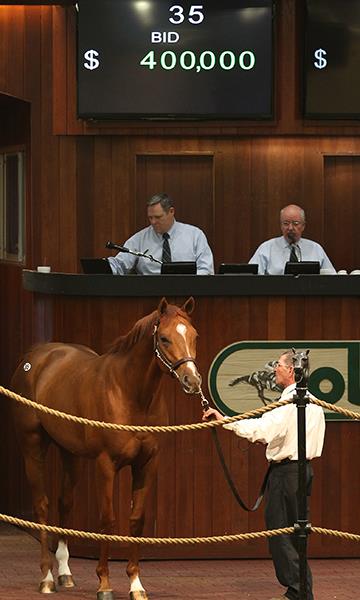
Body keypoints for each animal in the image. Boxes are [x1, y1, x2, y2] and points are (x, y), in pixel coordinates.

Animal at [11, 298, 201, 600]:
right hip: (33, 446)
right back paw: (47, 577)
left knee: (65, 503)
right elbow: (107, 520)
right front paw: (104, 584)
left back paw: (65, 573)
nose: (192, 381)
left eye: (194, 336)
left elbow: (137, 520)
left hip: (71, 453)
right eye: (164, 338)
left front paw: (136, 584)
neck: (129, 393)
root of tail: (36, 356)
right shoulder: (106, 464)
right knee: (42, 506)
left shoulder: (148, 463)